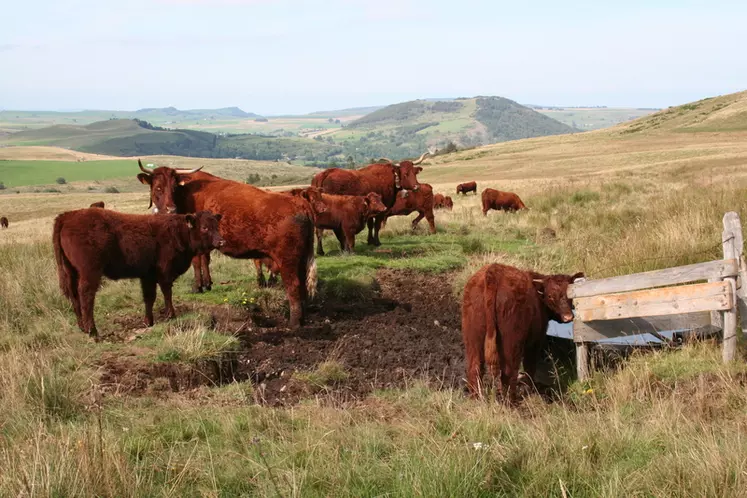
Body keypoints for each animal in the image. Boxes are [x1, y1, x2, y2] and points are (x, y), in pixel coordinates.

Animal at [52, 208, 224, 340]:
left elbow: (149, 298)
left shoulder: (147, 276)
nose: (221, 241)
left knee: (74, 296)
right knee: (86, 296)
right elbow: (166, 292)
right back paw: (92, 331)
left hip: (71, 272)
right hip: (89, 272)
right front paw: (171, 315)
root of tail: (67, 216)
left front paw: (149, 321)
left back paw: (82, 327)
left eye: (217, 225)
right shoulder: (164, 272)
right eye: (204, 227)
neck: (177, 232)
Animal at [136, 161, 318, 328]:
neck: (188, 193)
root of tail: (299, 203)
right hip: (301, 259)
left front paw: (197, 286)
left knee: (293, 286)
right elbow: (205, 260)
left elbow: (197, 262)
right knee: (302, 284)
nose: (170, 210)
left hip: (287, 260)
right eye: (158, 188)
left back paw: (294, 322)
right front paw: (207, 284)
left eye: (174, 188)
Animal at [462, 264, 584, 400]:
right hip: (511, 341)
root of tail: (494, 270)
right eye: (550, 296)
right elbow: (529, 366)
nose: (568, 317)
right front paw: (530, 389)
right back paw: (510, 400)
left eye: (569, 295)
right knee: (509, 370)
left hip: (473, 336)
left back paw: (477, 397)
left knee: (475, 367)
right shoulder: (535, 341)